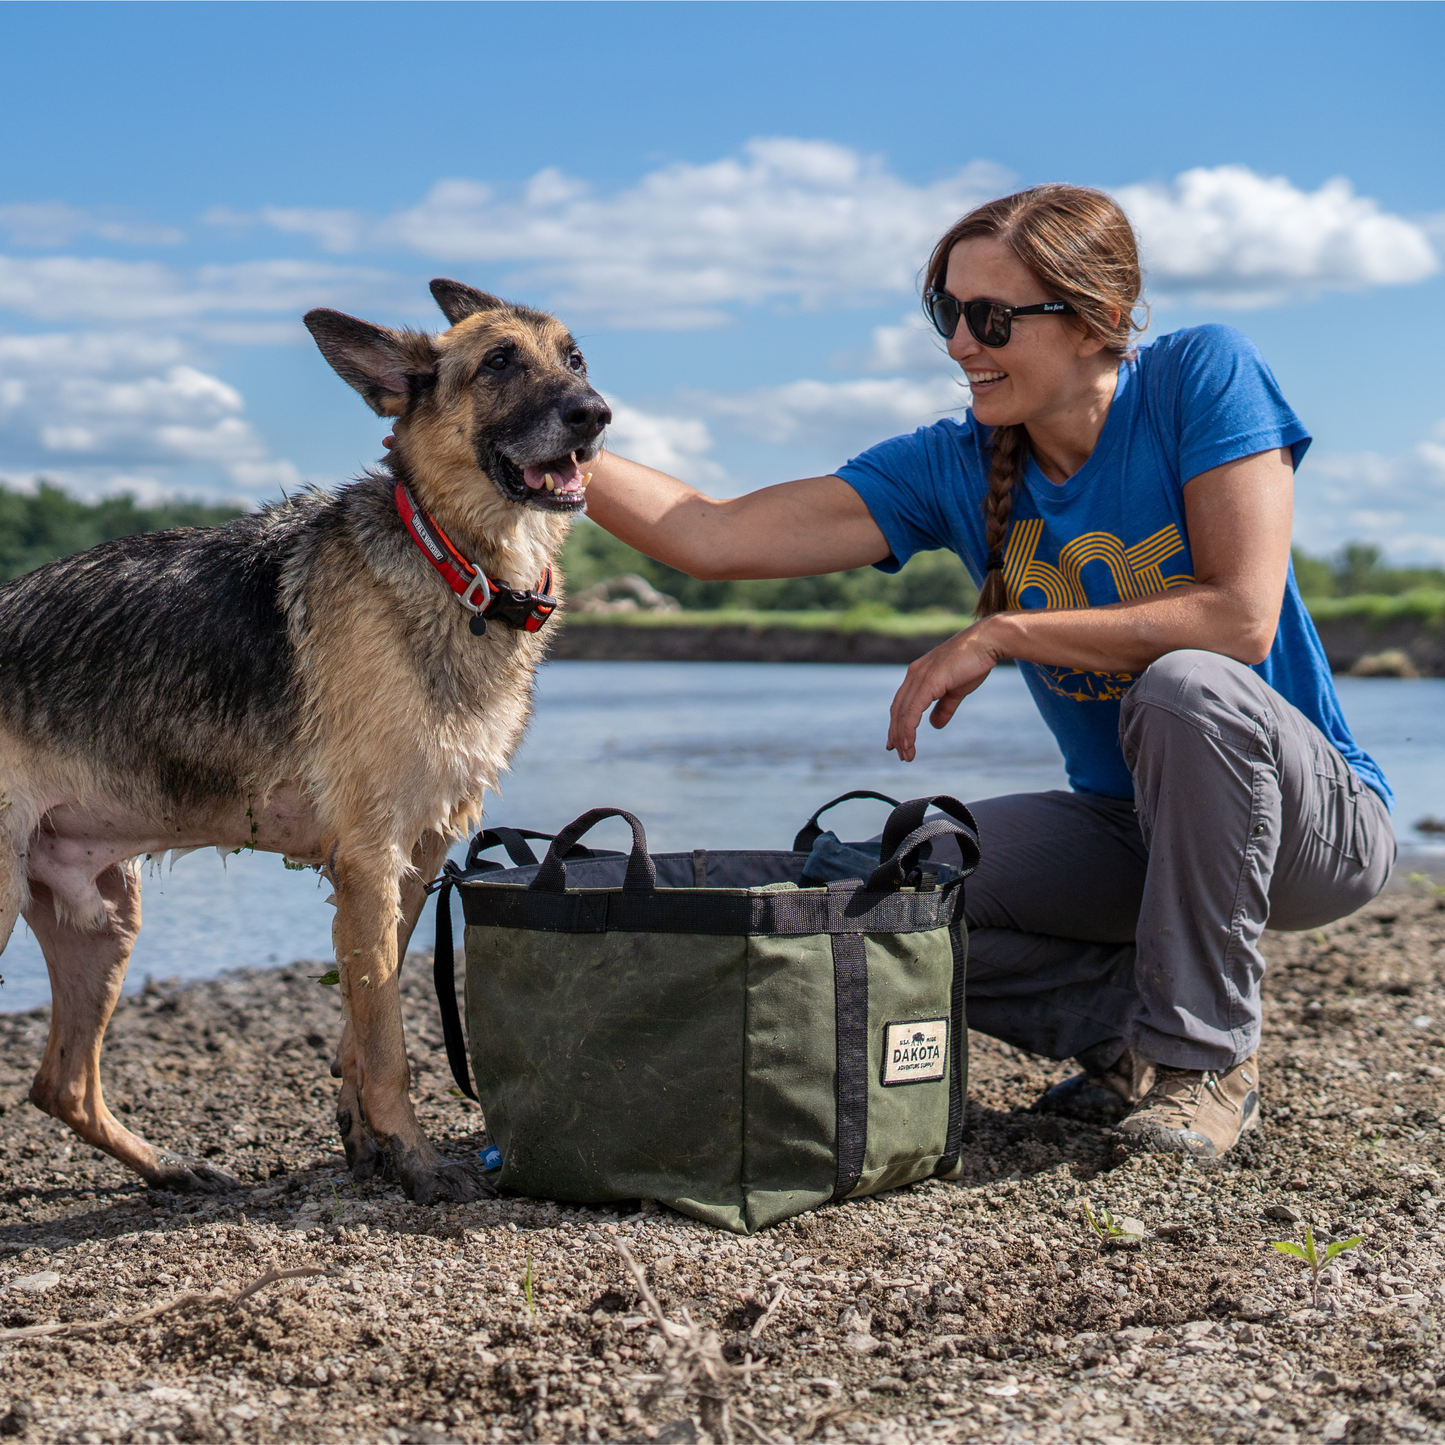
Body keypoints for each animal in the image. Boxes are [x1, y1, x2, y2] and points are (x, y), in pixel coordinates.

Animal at [0, 275, 609, 1202]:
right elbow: (389, 1043)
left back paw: (172, 1167)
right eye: (499, 363)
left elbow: (364, 1020)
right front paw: (415, 1160)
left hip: (105, 919)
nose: (595, 413)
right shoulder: (370, 859)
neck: (454, 562)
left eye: (574, 359)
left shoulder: (409, 863)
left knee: (59, 1081)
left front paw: (367, 1142)